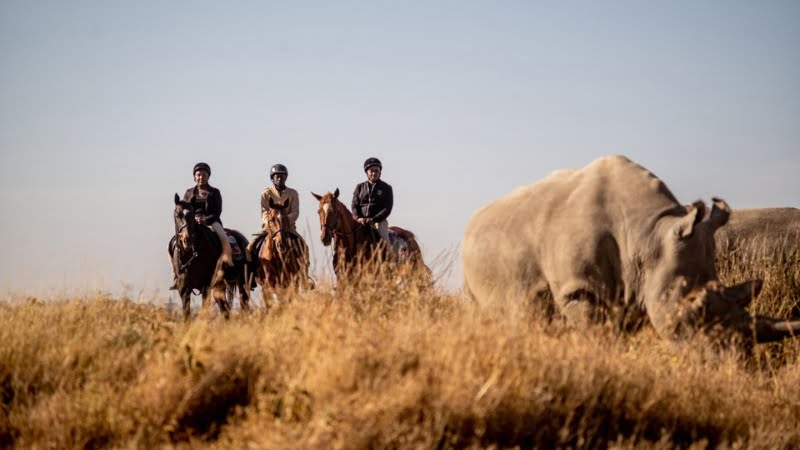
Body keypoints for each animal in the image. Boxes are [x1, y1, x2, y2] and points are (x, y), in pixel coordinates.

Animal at [462, 155, 800, 343]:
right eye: (694, 309)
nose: (731, 354)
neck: (648, 235)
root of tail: (475, 218)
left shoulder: (636, 290)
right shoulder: (579, 288)